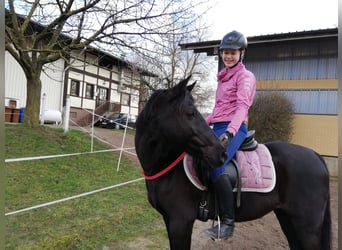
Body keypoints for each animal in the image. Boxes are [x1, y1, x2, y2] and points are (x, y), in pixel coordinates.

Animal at [134, 76, 332, 250]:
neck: (167, 168)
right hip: (287, 218)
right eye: (190, 113)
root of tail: (316, 155)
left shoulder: (180, 222)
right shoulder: (169, 220)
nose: (221, 153)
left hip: (307, 227)